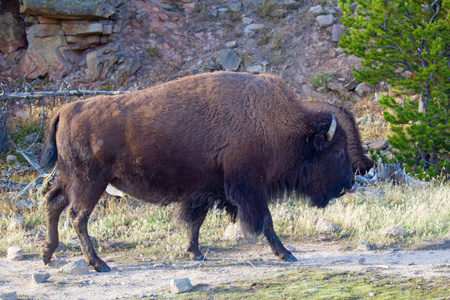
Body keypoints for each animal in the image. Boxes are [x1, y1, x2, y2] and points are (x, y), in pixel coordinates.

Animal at [39, 71, 356, 272]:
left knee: (54, 203)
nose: (349, 183)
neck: (275, 121)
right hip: (90, 182)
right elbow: (265, 220)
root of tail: (65, 110)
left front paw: (196, 253)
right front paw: (286, 254)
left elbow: (195, 222)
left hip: (70, 178)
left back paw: (47, 254)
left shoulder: (206, 189)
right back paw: (98, 264)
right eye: (338, 152)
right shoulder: (250, 186)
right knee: (77, 216)